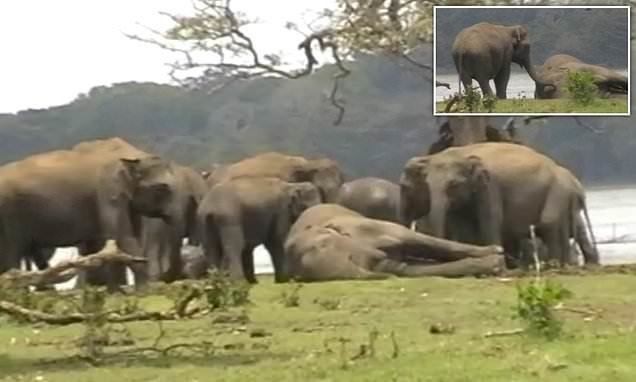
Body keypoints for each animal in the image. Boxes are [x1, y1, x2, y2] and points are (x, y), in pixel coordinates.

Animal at [0, 137, 176, 290]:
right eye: (162, 188)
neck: (133, 154)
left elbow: (119, 240)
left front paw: (115, 293)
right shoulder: (109, 190)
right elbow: (121, 236)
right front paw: (142, 291)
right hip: (9, 214)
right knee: (13, 254)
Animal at [284, 204, 506, 282]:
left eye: (348, 250)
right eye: (353, 260)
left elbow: (416, 239)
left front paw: (495, 251)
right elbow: (408, 269)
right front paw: (493, 264)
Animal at [400, 142, 600, 268]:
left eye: (453, 185)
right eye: (426, 184)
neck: (462, 153)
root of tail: (576, 183)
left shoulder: (490, 187)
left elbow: (491, 219)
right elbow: (463, 225)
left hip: (558, 191)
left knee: (549, 223)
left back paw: (556, 265)